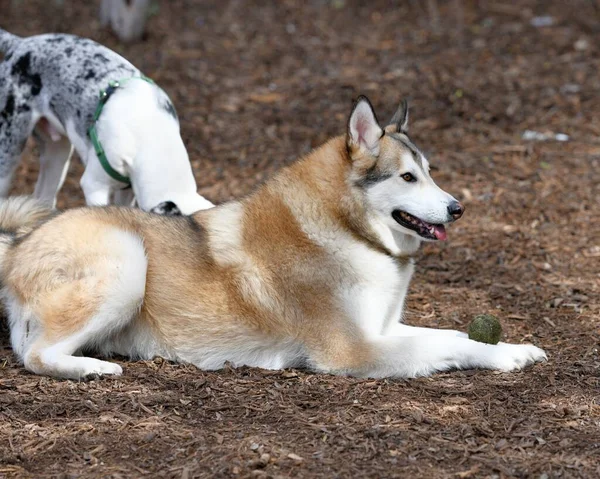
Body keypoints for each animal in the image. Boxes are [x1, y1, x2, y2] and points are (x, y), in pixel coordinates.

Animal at [0, 96, 548, 382]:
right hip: (127, 263)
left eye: (430, 172)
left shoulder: (383, 329)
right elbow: (451, 346)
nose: (458, 208)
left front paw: (514, 344)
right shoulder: (355, 352)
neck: (346, 229)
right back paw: (93, 369)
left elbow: (454, 334)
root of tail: (19, 245)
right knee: (36, 356)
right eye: (408, 178)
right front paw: (505, 357)